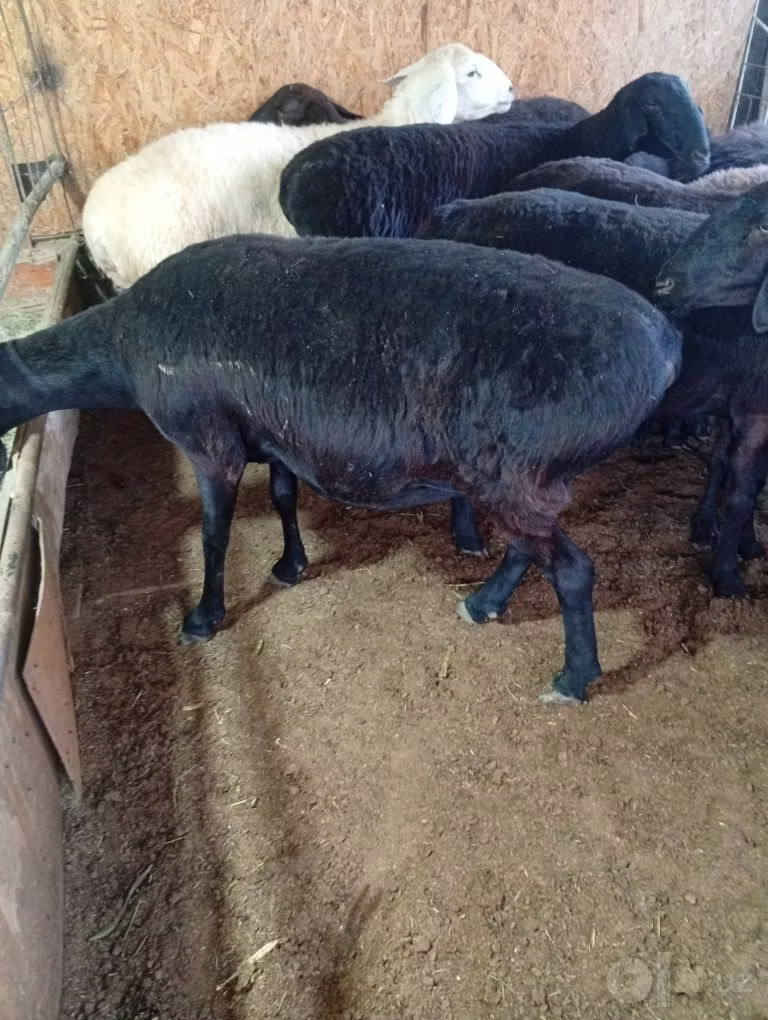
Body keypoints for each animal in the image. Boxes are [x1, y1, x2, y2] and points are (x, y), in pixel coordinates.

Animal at [0, 233, 693, 705]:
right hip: (518, 479)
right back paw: (483, 603)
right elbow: (283, 497)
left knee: (572, 571)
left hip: (519, 471)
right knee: (529, 549)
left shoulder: (209, 441)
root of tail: (664, 345)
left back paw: (573, 678)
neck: (119, 348)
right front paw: (291, 566)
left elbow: (215, 535)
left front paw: (203, 618)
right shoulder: (275, 437)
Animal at [417, 183, 768, 596]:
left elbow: (725, 468)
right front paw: (728, 575)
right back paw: (468, 535)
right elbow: (742, 494)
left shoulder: (737, 399)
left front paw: (726, 536)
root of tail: (454, 212)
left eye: (762, 225)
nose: (666, 282)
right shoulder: (755, 410)